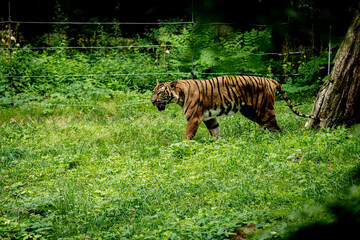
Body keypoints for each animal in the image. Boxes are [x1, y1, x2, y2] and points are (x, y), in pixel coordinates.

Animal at [151, 75, 318, 141]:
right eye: (153, 91)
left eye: (160, 92)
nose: (152, 101)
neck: (179, 96)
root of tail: (269, 79)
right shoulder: (210, 117)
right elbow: (215, 132)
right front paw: (219, 142)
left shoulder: (194, 118)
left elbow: (187, 136)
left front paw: (182, 145)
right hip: (249, 111)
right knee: (263, 124)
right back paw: (257, 137)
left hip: (265, 109)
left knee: (276, 128)